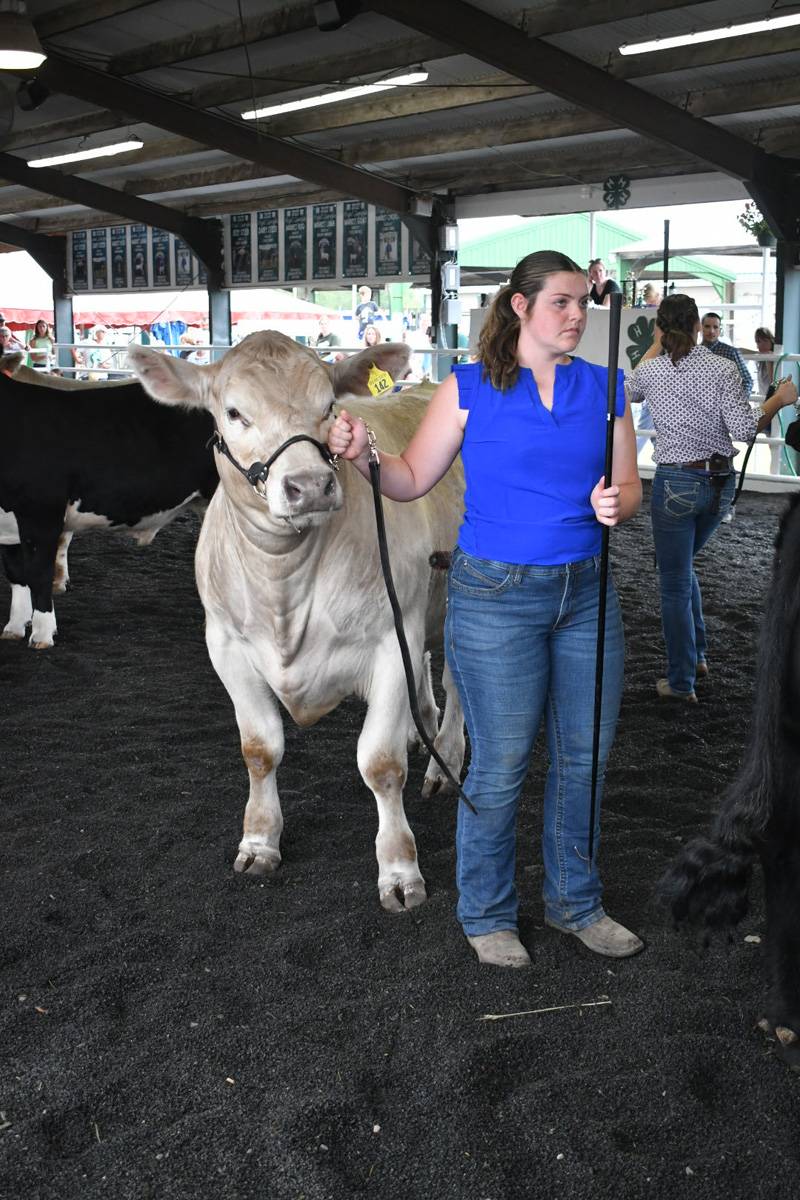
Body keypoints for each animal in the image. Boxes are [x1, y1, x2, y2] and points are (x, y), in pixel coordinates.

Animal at [128, 331, 465, 907]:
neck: (283, 584)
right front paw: (259, 841)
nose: (308, 485)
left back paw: (445, 759)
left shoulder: (388, 639)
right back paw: (419, 728)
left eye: (329, 406)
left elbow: (380, 764)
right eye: (234, 412)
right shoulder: (225, 645)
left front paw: (400, 869)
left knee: (460, 684)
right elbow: (260, 749)